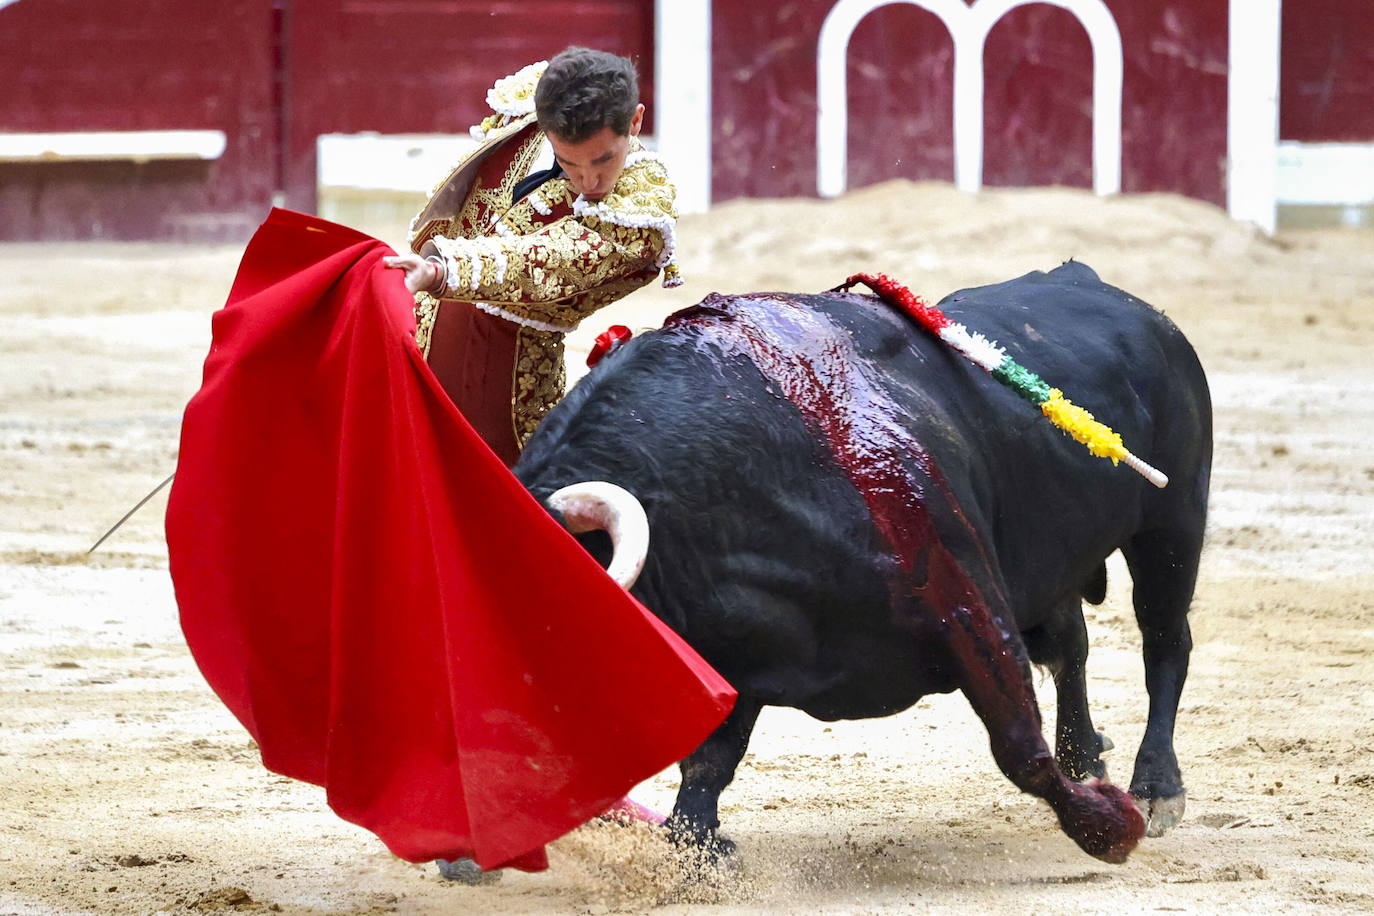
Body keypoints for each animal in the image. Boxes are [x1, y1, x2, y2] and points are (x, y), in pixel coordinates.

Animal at [516, 260, 1214, 862]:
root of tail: (1112, 294)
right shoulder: (737, 636)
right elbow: (710, 760)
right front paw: (699, 849)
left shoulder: (965, 600)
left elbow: (1019, 743)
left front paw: (1109, 825)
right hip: (1050, 558)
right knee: (1071, 644)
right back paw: (1087, 757)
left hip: (1173, 523)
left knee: (1164, 640)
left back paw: (1155, 790)